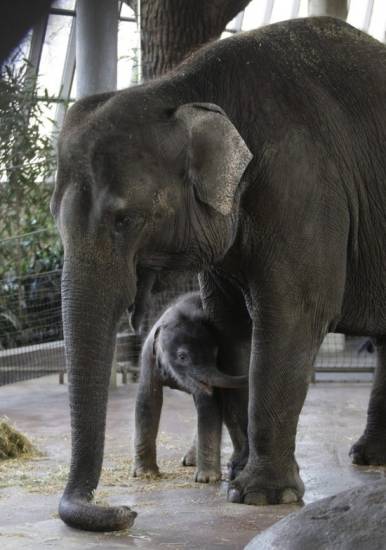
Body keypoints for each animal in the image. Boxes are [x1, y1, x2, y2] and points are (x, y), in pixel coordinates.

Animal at [133, 294, 247, 484]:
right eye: (182, 356)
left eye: (216, 354)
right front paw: (145, 475)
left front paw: (206, 479)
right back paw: (190, 461)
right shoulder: (149, 356)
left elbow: (209, 403)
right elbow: (147, 400)